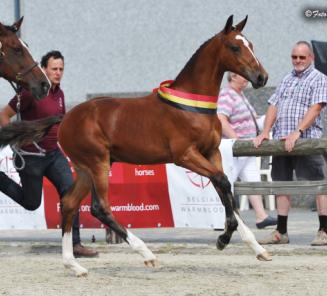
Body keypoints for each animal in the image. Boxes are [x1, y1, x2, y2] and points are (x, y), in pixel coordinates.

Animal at [0, 15, 272, 276]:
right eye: (235, 47)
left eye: (251, 45)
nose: (262, 77)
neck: (192, 105)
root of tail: (65, 118)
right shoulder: (186, 156)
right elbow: (223, 183)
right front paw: (223, 239)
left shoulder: (212, 153)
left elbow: (224, 188)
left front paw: (255, 247)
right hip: (97, 163)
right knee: (100, 208)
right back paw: (146, 253)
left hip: (87, 168)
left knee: (68, 203)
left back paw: (73, 265)